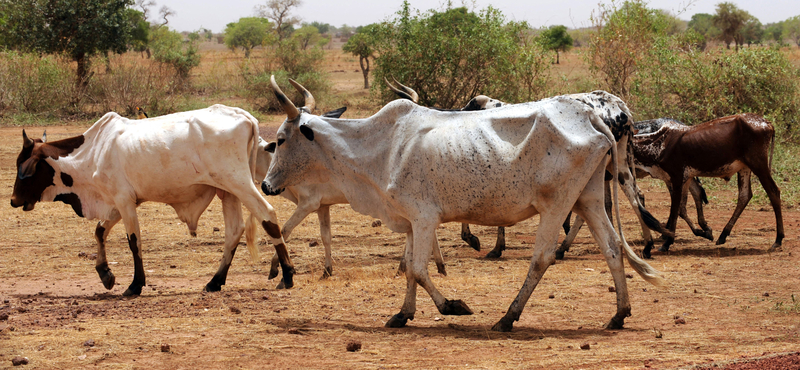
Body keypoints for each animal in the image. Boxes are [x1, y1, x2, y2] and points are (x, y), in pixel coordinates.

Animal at [10, 105, 296, 296]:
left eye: (26, 169)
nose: (13, 200)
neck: (93, 150)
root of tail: (243, 115)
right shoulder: (121, 202)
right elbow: (100, 232)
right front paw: (105, 274)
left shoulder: (124, 201)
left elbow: (133, 242)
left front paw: (135, 285)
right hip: (228, 192)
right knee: (234, 231)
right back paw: (215, 281)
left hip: (239, 184)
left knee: (268, 216)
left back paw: (288, 274)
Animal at [262, 76, 664, 330]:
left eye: (280, 139)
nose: (266, 185)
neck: (380, 147)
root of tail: (595, 115)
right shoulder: (412, 222)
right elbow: (409, 269)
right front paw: (402, 314)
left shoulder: (424, 218)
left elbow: (418, 270)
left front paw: (452, 306)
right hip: (589, 197)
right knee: (612, 247)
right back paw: (619, 314)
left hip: (558, 204)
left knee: (542, 258)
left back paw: (507, 317)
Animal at [632, 114, 780, 258]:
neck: (659, 143)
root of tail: (767, 122)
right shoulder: (685, 179)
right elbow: (681, 208)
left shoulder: (676, 178)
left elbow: (675, 211)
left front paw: (667, 243)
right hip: (745, 168)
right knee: (744, 196)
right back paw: (723, 235)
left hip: (758, 164)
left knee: (773, 192)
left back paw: (778, 240)